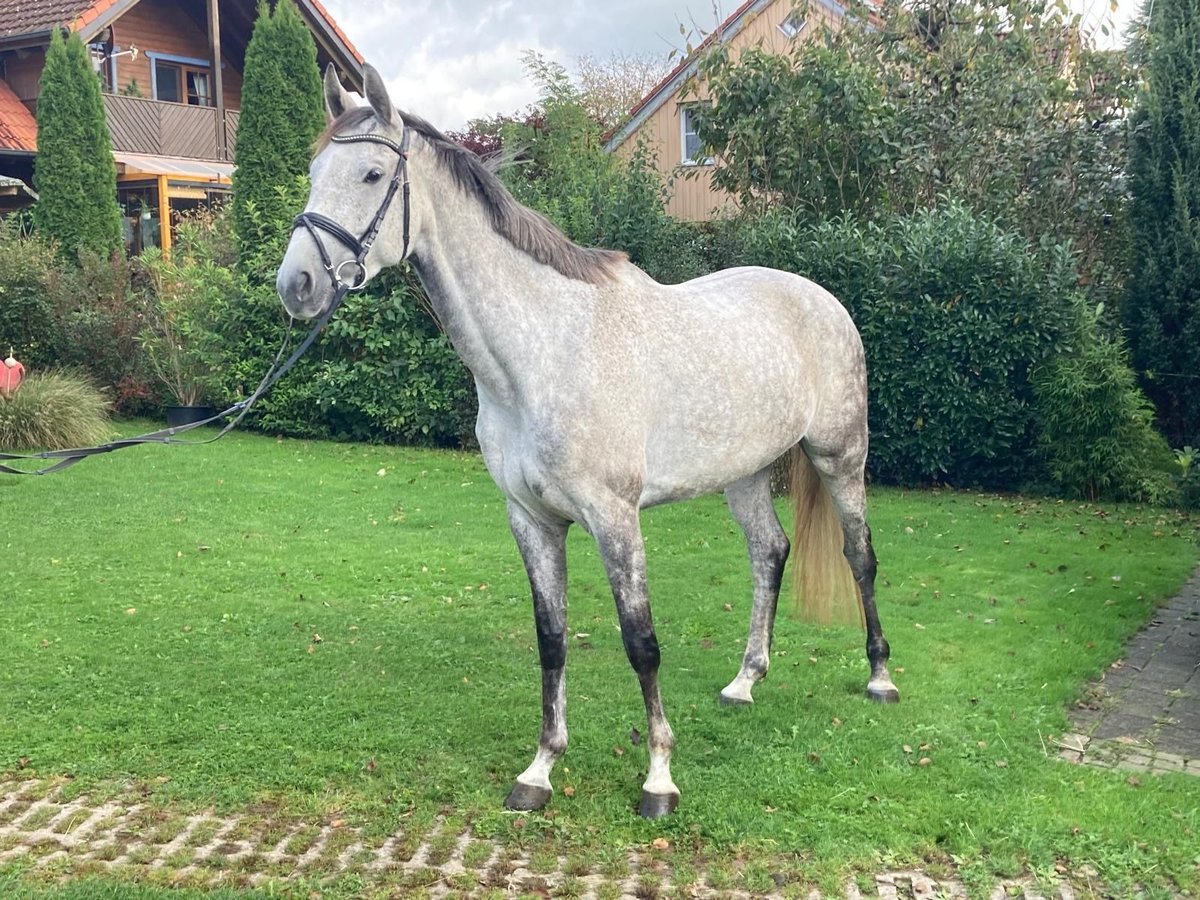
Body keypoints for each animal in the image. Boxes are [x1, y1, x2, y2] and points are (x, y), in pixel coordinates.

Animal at [272, 65, 897, 825]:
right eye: (313, 173)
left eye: (369, 174)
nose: (296, 285)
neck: (543, 351)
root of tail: (822, 299)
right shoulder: (532, 519)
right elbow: (551, 638)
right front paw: (540, 769)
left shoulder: (614, 518)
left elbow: (641, 643)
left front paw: (658, 779)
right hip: (743, 474)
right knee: (768, 553)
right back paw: (744, 682)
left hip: (841, 457)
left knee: (859, 556)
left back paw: (880, 677)